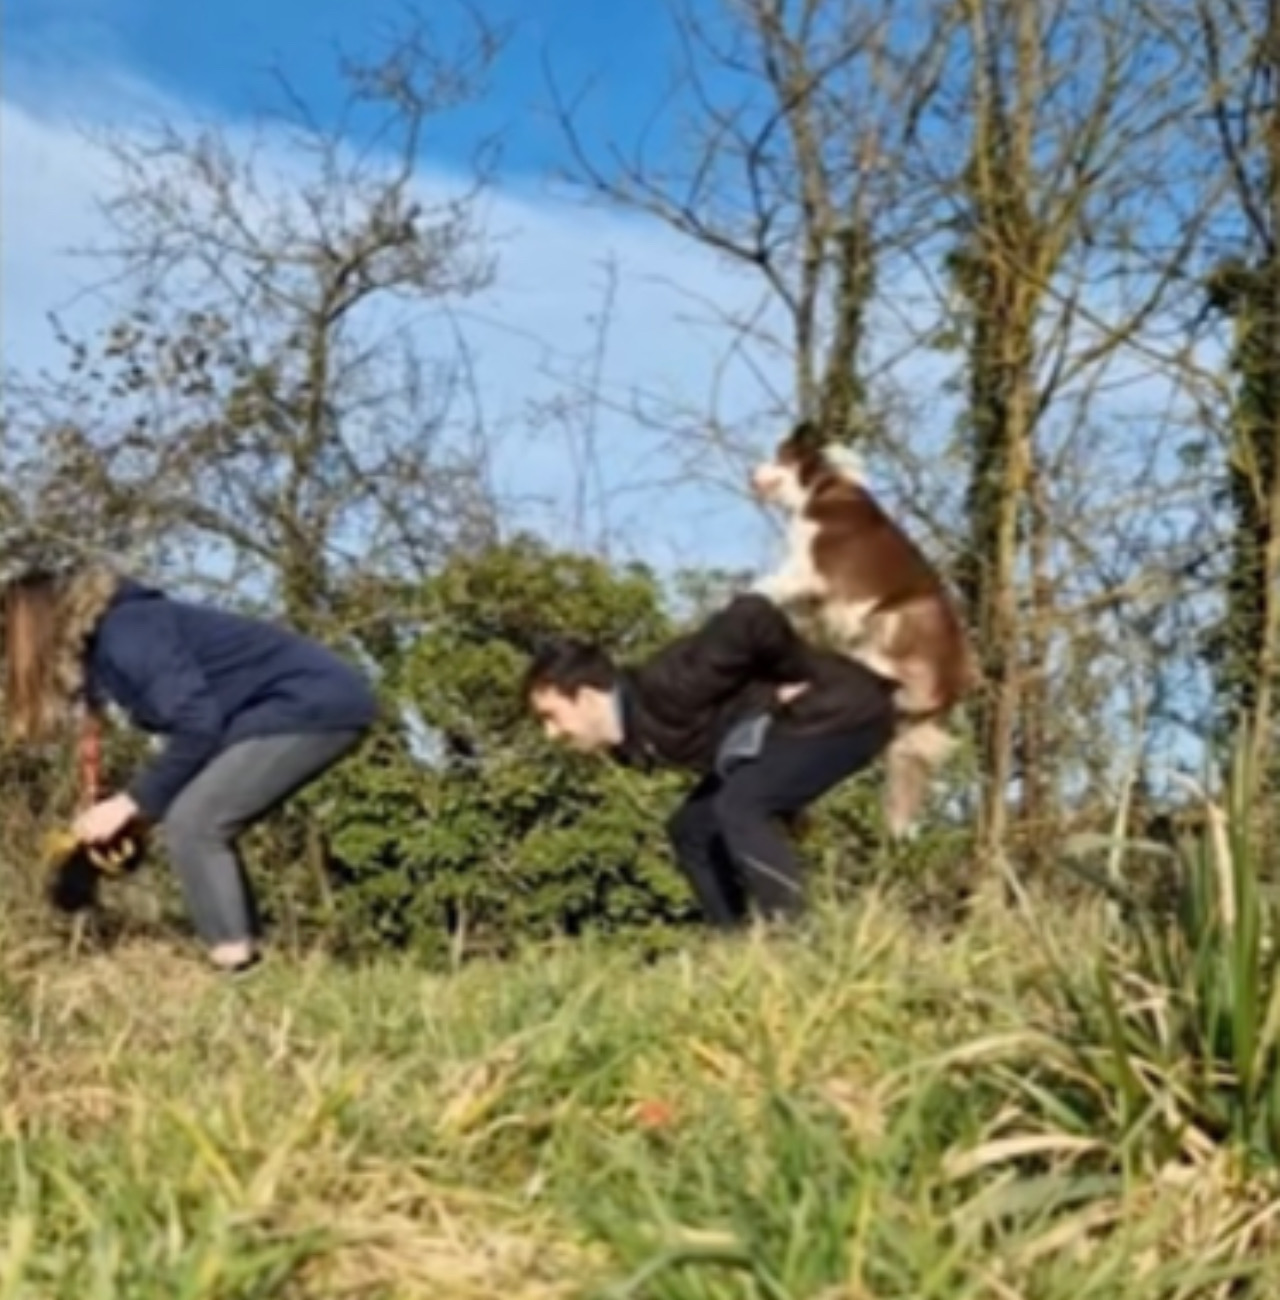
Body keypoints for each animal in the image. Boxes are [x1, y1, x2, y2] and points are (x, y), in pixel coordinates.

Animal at [748, 421, 966, 837]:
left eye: (779, 455)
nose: (750, 474)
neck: (820, 485)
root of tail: (949, 691)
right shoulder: (811, 592)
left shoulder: (807, 570)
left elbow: (760, 588)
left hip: (901, 612)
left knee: (881, 668)